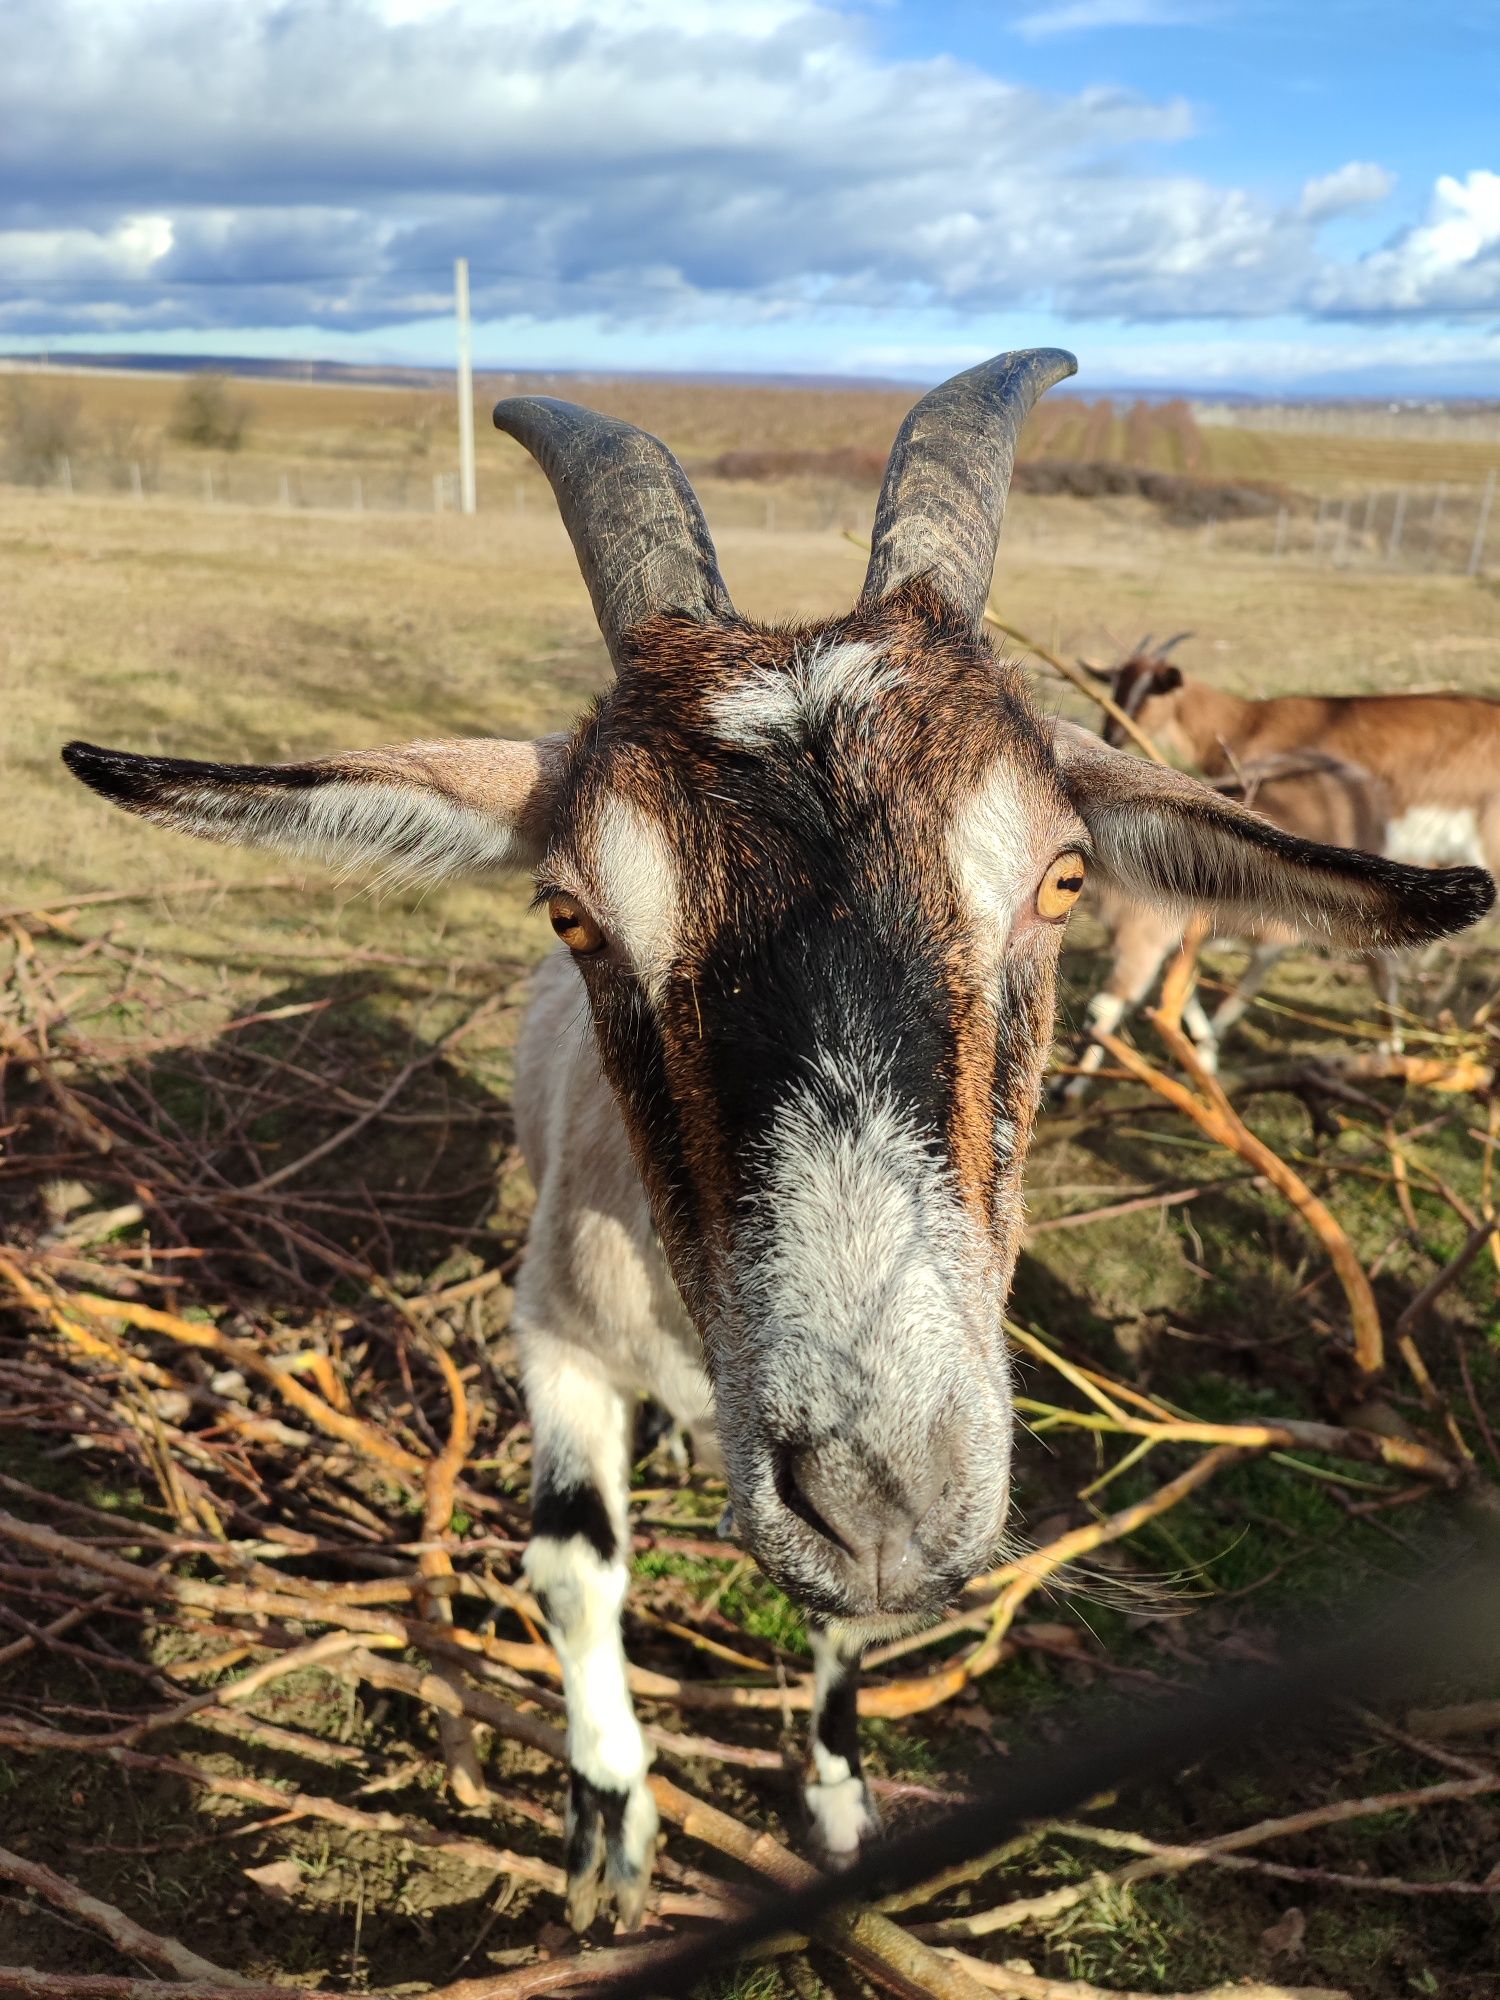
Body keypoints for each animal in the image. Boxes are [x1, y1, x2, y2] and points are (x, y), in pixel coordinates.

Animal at [55, 352, 1496, 1928]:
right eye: (571, 913)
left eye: (1062, 879)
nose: (875, 1496)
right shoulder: (554, 1325)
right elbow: (572, 1561)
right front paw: (610, 1832)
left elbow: (839, 1634)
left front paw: (840, 1803)